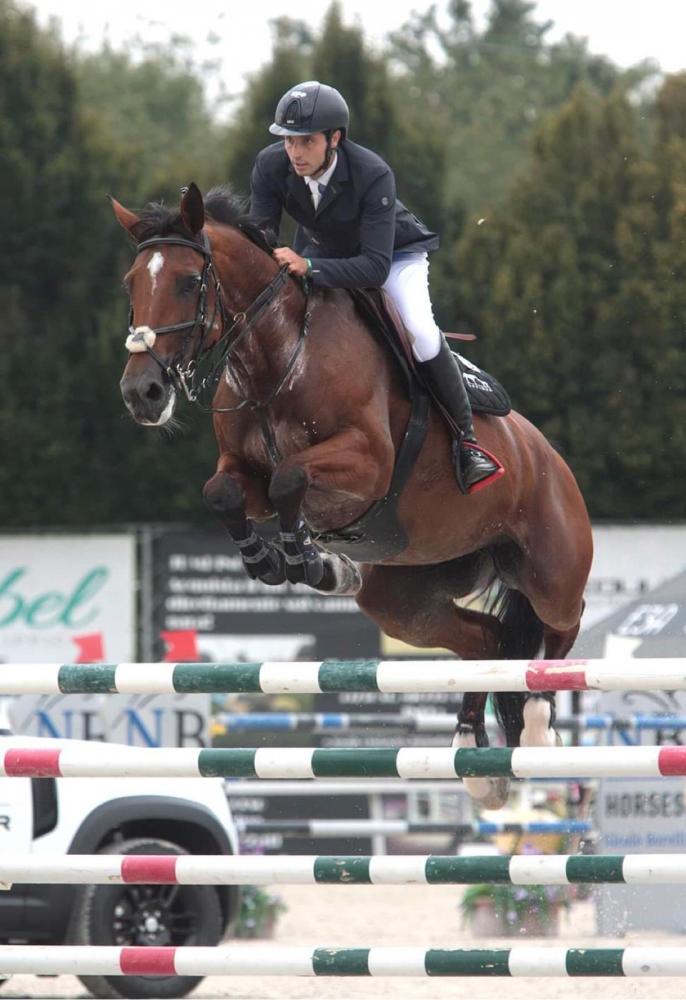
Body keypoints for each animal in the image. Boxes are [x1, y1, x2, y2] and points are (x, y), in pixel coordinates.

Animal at [112, 182, 593, 809]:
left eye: (190, 282)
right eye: (131, 284)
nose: (142, 393)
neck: (277, 356)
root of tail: (550, 458)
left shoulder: (367, 463)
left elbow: (291, 477)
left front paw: (307, 559)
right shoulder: (243, 473)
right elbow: (223, 492)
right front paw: (276, 561)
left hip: (549, 568)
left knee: (562, 623)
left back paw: (536, 725)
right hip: (403, 600)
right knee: (484, 642)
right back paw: (475, 757)